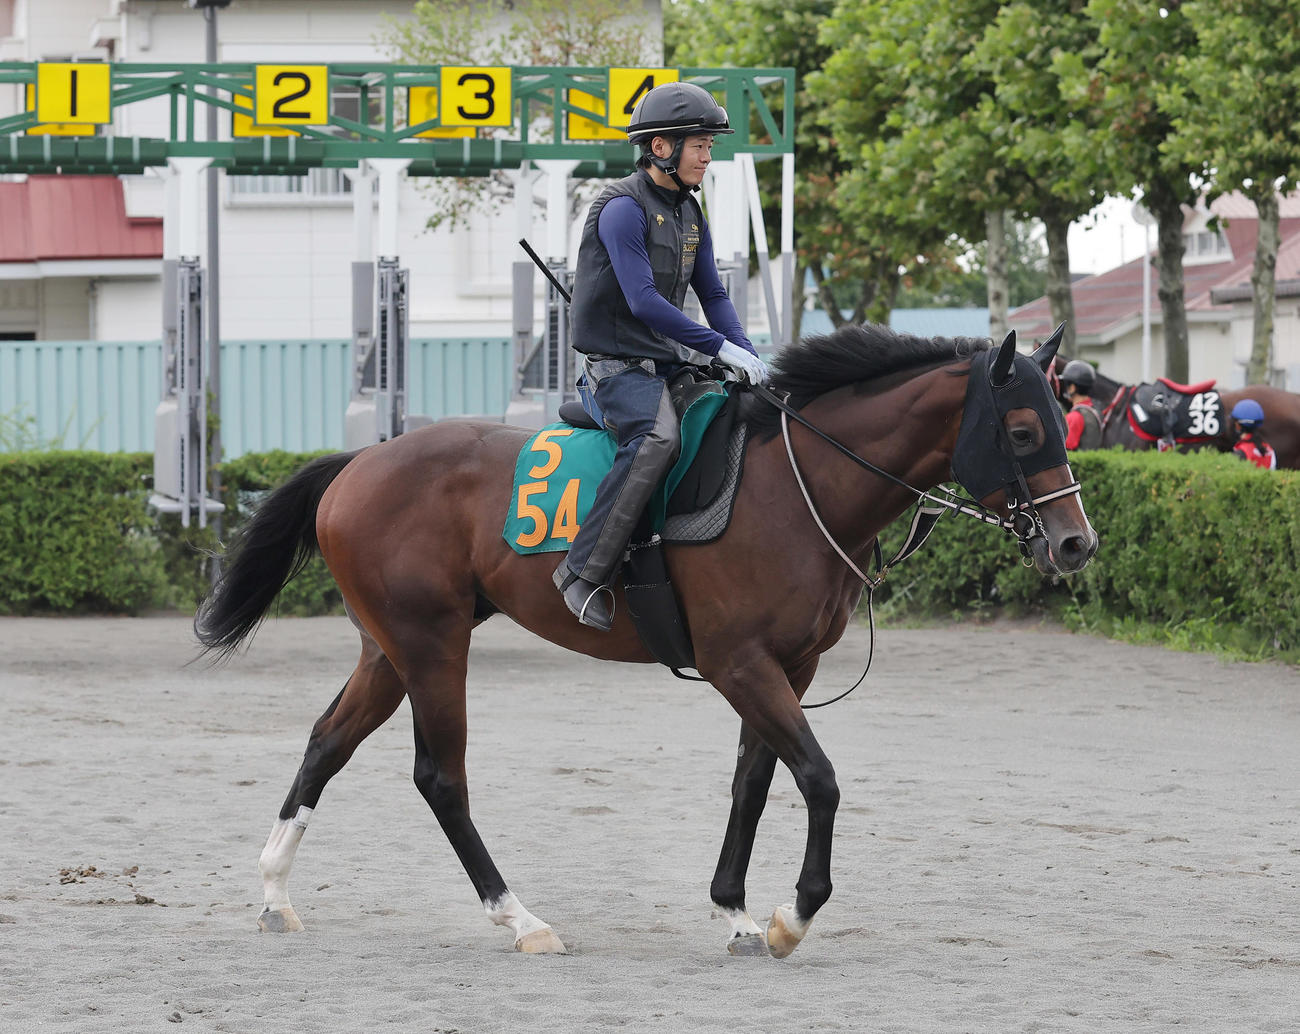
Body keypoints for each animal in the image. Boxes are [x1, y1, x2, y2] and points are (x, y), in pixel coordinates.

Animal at [195, 323, 1098, 959]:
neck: (796, 482)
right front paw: (791, 913)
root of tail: (359, 463)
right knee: (439, 778)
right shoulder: (741, 665)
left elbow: (753, 784)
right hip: (431, 647)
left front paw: (736, 911)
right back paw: (521, 918)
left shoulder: (789, 668)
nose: (1075, 544)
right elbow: (820, 779)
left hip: (389, 650)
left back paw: (275, 894)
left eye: (1066, 422)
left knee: (326, 743)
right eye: (1023, 431)